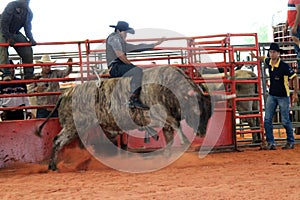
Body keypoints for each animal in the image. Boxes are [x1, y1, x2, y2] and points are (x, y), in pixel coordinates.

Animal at [37, 65, 225, 170]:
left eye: (209, 113)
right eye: (197, 111)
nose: (201, 133)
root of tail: (66, 92)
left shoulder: (165, 124)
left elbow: (170, 139)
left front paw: (167, 158)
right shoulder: (159, 115)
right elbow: (176, 126)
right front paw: (186, 142)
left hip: (78, 127)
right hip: (72, 126)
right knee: (57, 141)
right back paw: (53, 166)